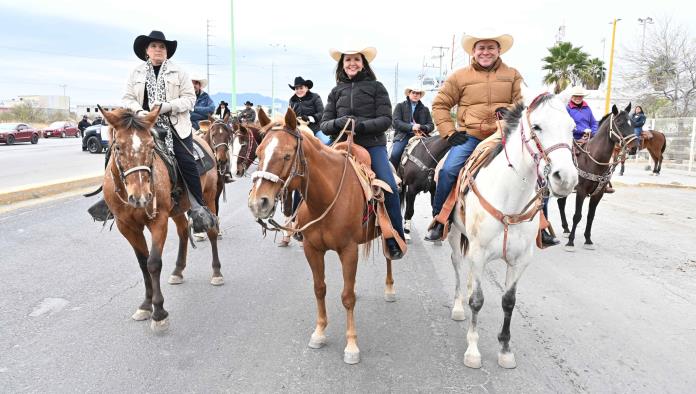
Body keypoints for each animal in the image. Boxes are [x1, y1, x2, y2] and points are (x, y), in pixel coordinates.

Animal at [98, 105, 220, 332]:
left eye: (151, 146)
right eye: (117, 147)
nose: (141, 197)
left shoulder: (159, 220)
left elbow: (153, 262)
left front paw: (159, 312)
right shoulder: (126, 226)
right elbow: (142, 263)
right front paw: (146, 305)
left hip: (208, 196)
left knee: (212, 231)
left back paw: (217, 272)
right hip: (178, 209)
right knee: (183, 231)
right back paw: (178, 270)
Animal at [247, 108, 394, 366]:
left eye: (287, 156)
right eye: (258, 152)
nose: (258, 203)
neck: (326, 198)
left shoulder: (348, 250)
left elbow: (347, 297)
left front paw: (352, 345)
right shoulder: (312, 249)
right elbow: (319, 289)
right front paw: (319, 332)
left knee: (388, 255)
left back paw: (389, 289)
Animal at [448, 94, 580, 370]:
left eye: (572, 128)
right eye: (537, 126)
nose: (566, 178)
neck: (510, 198)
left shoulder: (520, 260)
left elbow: (508, 302)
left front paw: (505, 349)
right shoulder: (479, 253)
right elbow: (478, 301)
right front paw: (473, 350)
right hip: (455, 236)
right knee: (458, 267)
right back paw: (458, 307)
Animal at [560, 103, 636, 251]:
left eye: (632, 122)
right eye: (619, 122)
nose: (635, 146)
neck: (593, 160)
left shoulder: (598, 194)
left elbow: (590, 216)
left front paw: (588, 240)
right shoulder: (581, 191)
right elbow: (577, 216)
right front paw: (571, 242)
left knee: (561, 204)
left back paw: (565, 229)